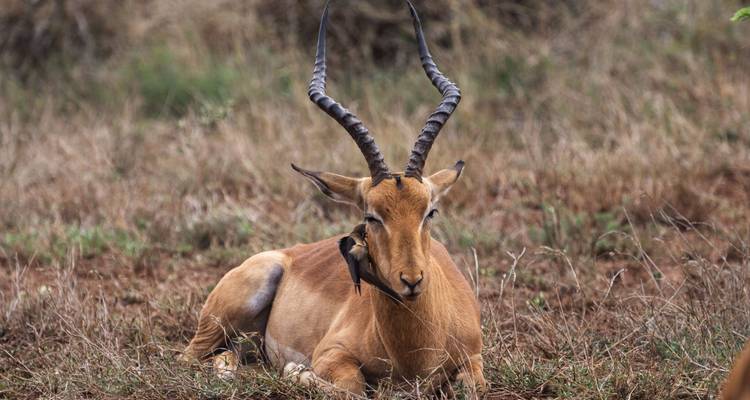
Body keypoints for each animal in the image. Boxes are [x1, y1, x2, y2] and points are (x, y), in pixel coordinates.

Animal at [182, 1, 487, 395]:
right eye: (372, 216)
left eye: (430, 212)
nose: (411, 280)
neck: (416, 349)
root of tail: (286, 254)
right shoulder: (332, 355)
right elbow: (352, 389)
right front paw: (296, 372)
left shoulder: (474, 359)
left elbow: (471, 387)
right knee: (192, 359)